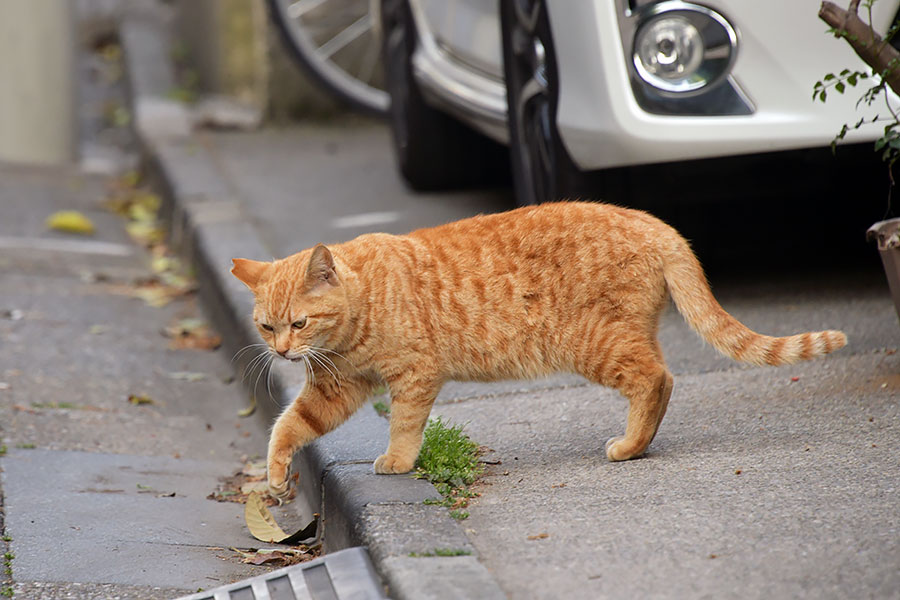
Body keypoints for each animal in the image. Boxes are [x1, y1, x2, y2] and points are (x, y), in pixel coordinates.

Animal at [230, 202, 844, 496]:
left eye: (299, 323)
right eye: (265, 326)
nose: (281, 352)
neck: (360, 310)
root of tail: (652, 222)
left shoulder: (414, 377)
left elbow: (404, 425)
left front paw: (398, 462)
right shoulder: (337, 389)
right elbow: (289, 425)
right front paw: (276, 476)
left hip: (594, 343)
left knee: (657, 379)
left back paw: (628, 447)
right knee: (662, 379)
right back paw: (639, 445)